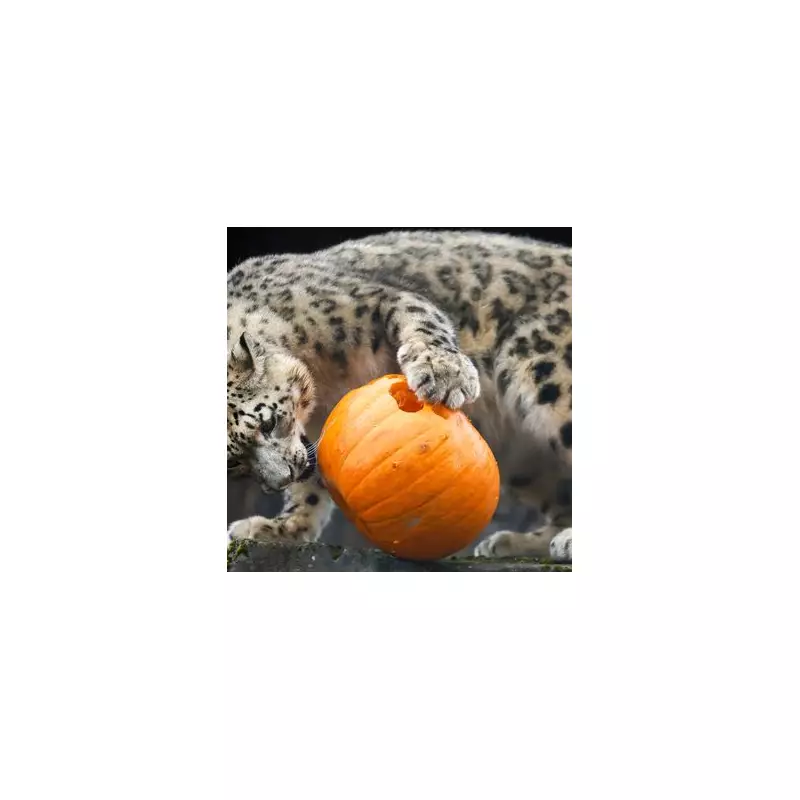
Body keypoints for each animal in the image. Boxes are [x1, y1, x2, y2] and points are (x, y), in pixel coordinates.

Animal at [227, 230, 572, 562]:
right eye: (233, 462)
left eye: (268, 423)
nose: (281, 480)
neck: (325, 384)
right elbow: (310, 485)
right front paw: (281, 527)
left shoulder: (374, 299)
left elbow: (420, 318)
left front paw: (443, 372)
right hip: (523, 462)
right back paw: (517, 541)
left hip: (545, 366)